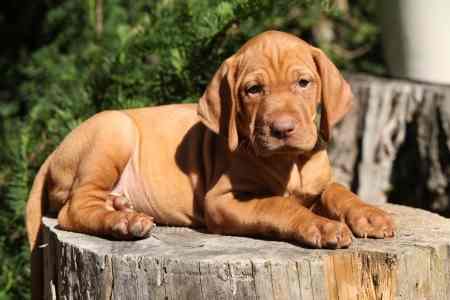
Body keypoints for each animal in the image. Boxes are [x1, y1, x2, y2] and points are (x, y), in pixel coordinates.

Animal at [27, 31, 394, 253]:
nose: (282, 129)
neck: (290, 163)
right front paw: (321, 225)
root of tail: (54, 151)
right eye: (253, 90)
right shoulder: (222, 201)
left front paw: (370, 215)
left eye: (303, 83)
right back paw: (123, 222)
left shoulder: (318, 184)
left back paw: (120, 208)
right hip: (114, 130)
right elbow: (279, 205)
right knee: (74, 207)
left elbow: (338, 191)